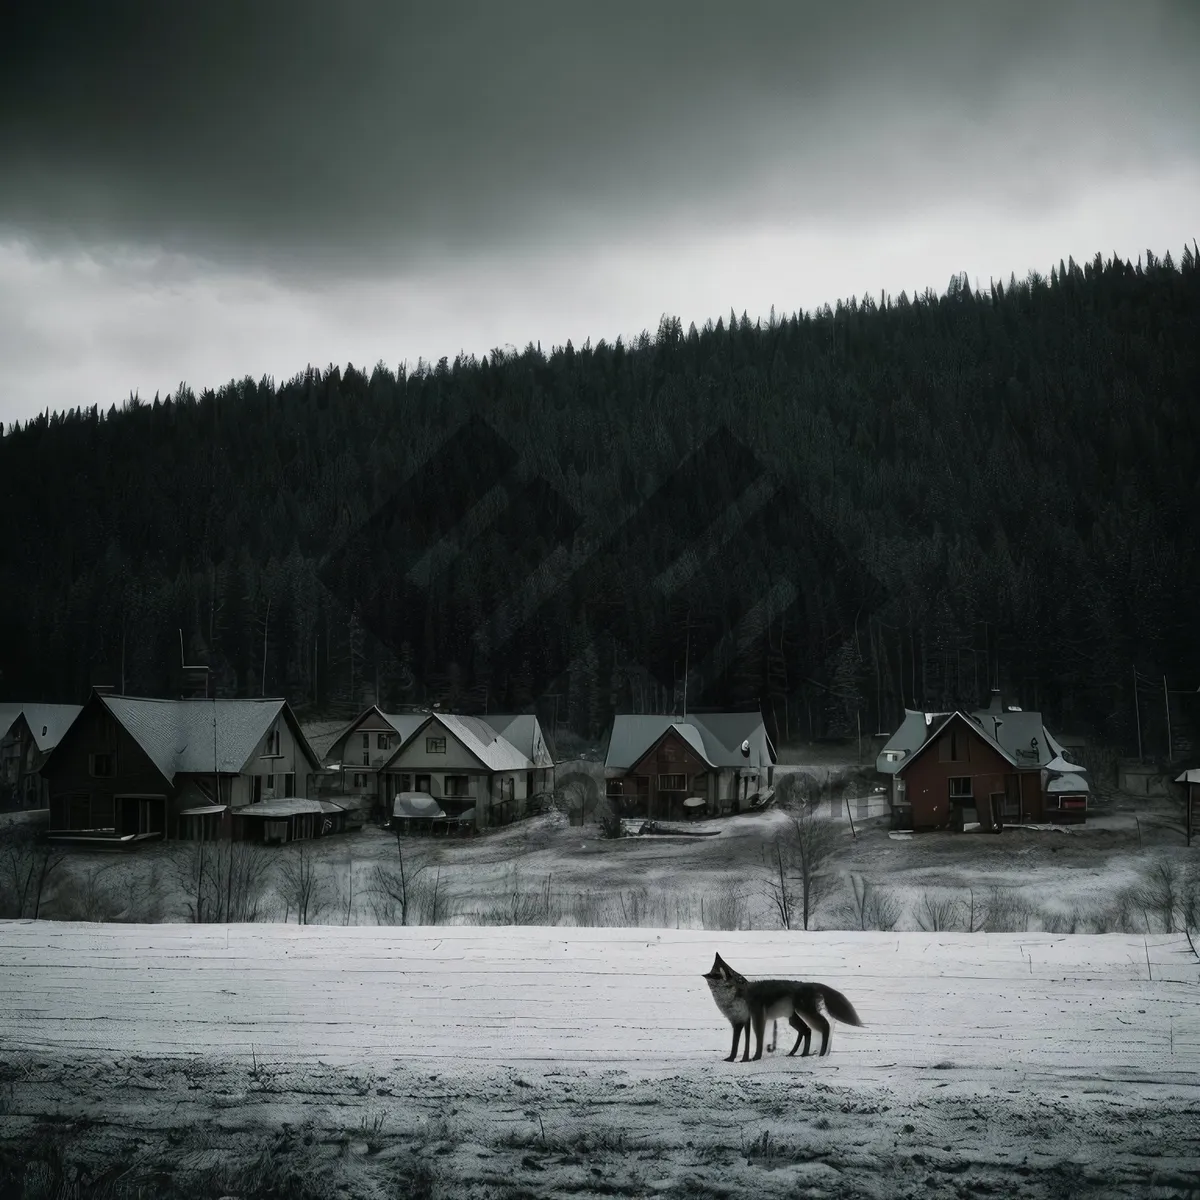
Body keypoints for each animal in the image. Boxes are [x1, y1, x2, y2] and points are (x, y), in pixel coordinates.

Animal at [700, 955, 864, 1060]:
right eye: (720, 974)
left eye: (734, 974)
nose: (743, 981)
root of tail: (810, 984)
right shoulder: (740, 1021)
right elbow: (738, 1044)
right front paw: (734, 1059)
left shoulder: (755, 1017)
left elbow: (757, 1038)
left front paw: (755, 1058)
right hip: (794, 1018)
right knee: (809, 1030)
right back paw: (802, 1054)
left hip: (804, 1014)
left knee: (826, 1024)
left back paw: (822, 1053)